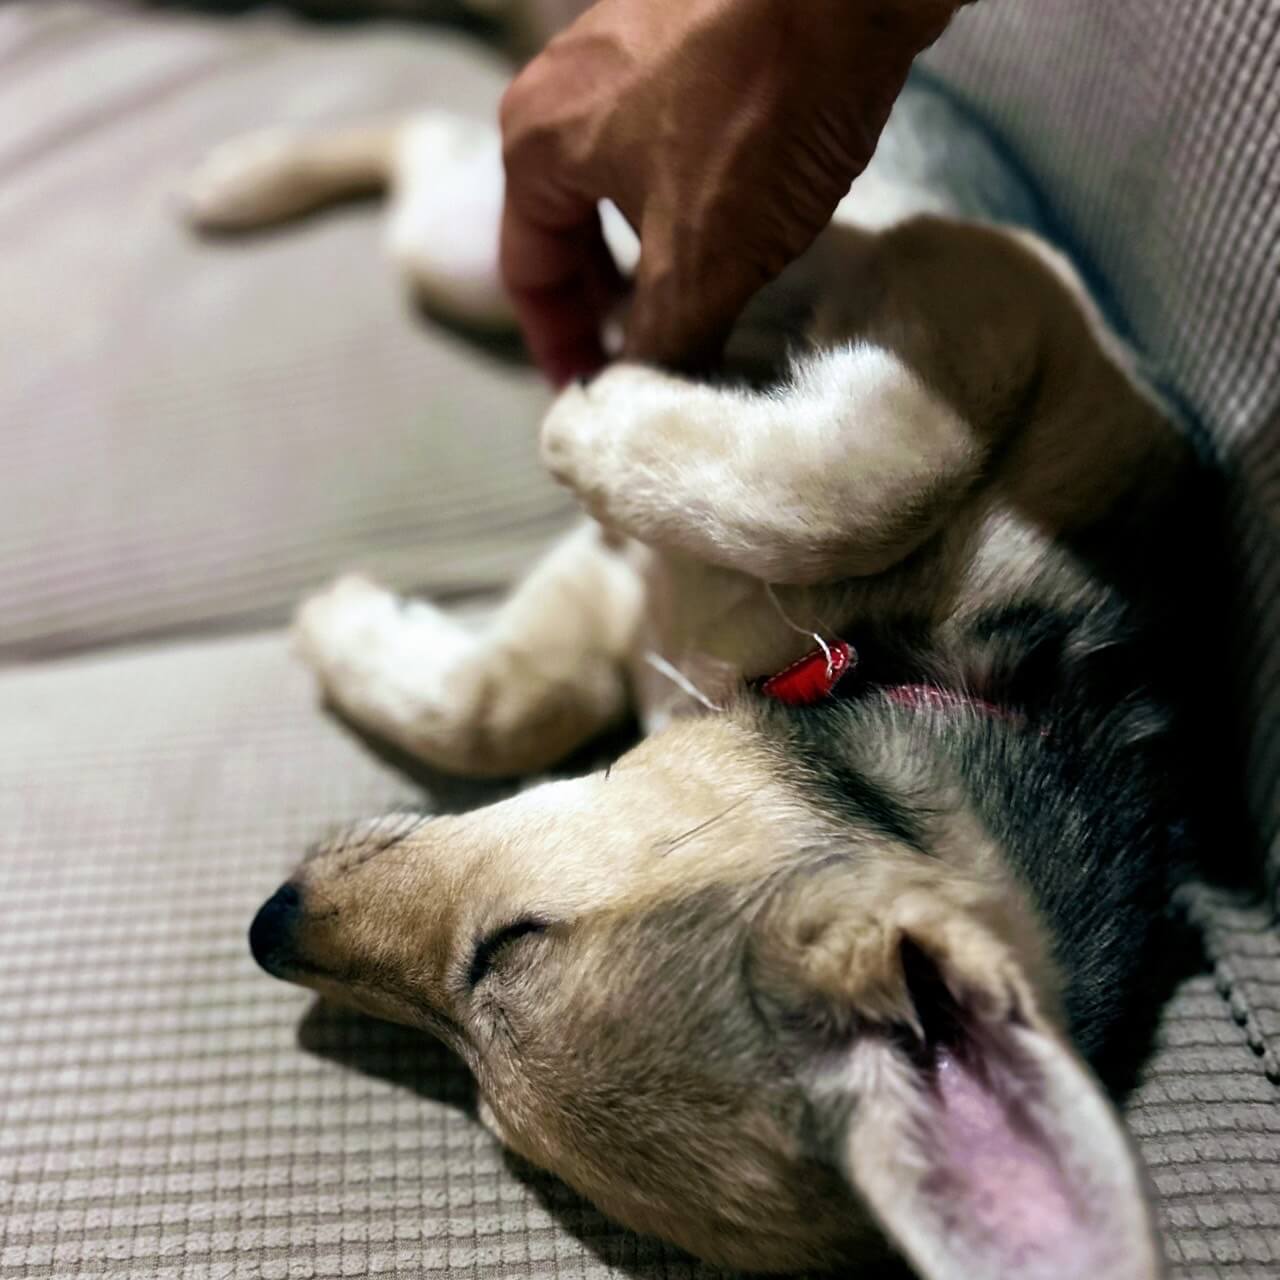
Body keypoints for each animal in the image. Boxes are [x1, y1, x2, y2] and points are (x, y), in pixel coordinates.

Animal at [185, 67, 1213, 1280]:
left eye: (501, 953)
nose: (269, 924)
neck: (873, 674)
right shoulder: (1000, 296)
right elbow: (881, 471)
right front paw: (598, 417)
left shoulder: (610, 610)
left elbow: (502, 704)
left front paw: (349, 619)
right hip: (492, 242)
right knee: (426, 131)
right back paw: (242, 178)